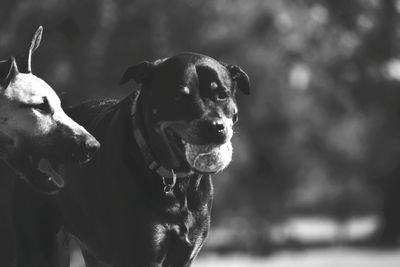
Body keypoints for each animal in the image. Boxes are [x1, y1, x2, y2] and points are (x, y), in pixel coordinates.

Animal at [26, 52, 248, 267]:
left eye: (222, 95)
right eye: (178, 97)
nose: (215, 126)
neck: (176, 182)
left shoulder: (185, 252)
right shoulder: (141, 253)